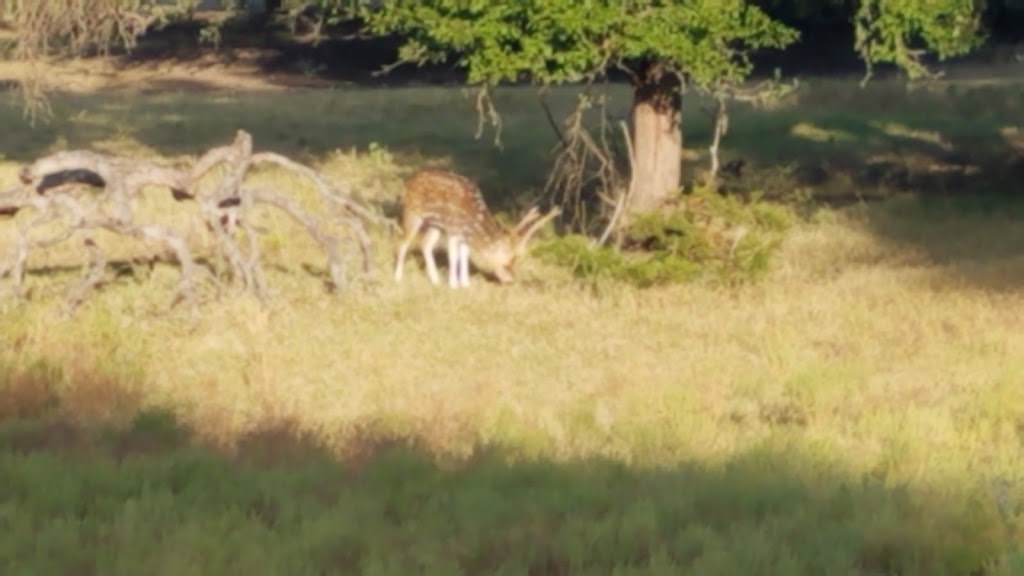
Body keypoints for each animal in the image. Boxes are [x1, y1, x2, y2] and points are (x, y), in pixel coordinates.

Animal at [395, 169, 565, 286]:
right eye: (508, 262)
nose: (511, 280)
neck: (472, 221)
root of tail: (405, 186)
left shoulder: (463, 234)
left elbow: (464, 255)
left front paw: (465, 284)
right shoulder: (453, 229)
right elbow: (454, 256)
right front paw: (453, 285)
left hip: (434, 224)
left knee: (426, 244)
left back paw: (435, 280)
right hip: (412, 214)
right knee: (403, 243)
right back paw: (398, 276)